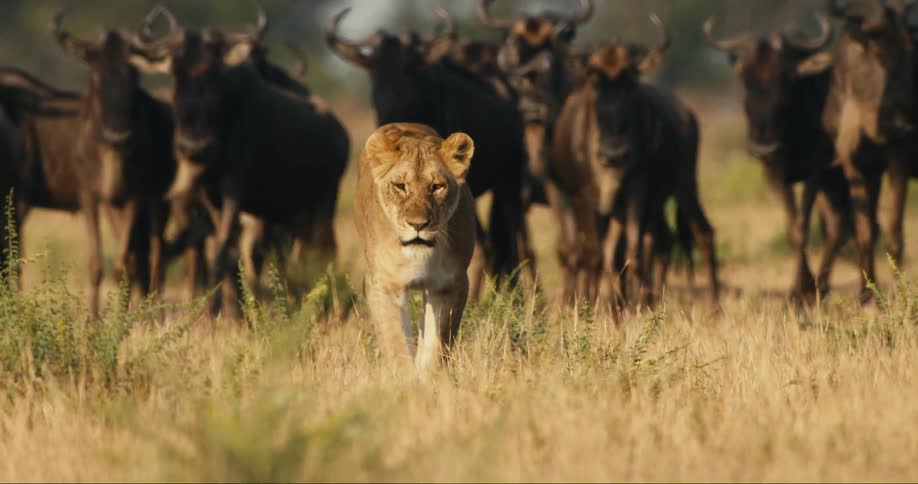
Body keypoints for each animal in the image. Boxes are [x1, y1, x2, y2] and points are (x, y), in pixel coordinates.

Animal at [355, 123, 476, 376]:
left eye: (436, 186)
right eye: (400, 186)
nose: (418, 224)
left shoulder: (450, 285)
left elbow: (437, 346)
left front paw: (429, 379)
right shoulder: (384, 284)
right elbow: (396, 341)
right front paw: (405, 380)